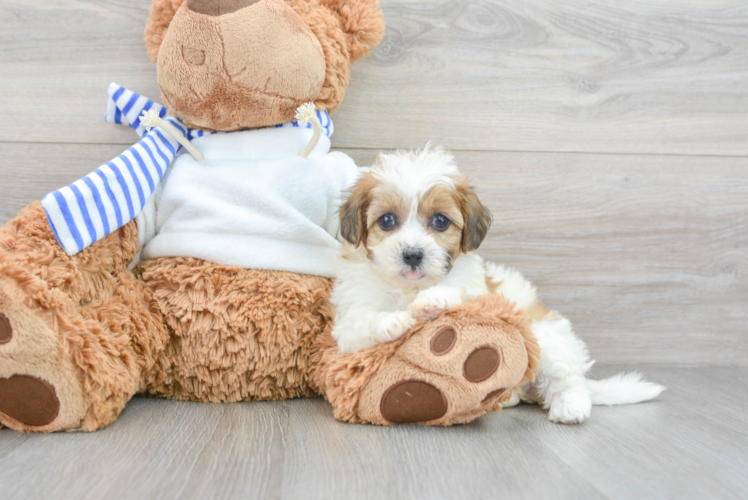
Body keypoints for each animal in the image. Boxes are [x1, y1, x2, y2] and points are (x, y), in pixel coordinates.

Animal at [334, 146, 668, 424]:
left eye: (440, 221)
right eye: (386, 221)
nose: (413, 254)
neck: (409, 289)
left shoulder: (478, 290)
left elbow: (461, 294)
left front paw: (434, 300)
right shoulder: (348, 321)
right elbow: (361, 324)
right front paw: (394, 322)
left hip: (545, 336)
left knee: (567, 376)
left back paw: (570, 406)